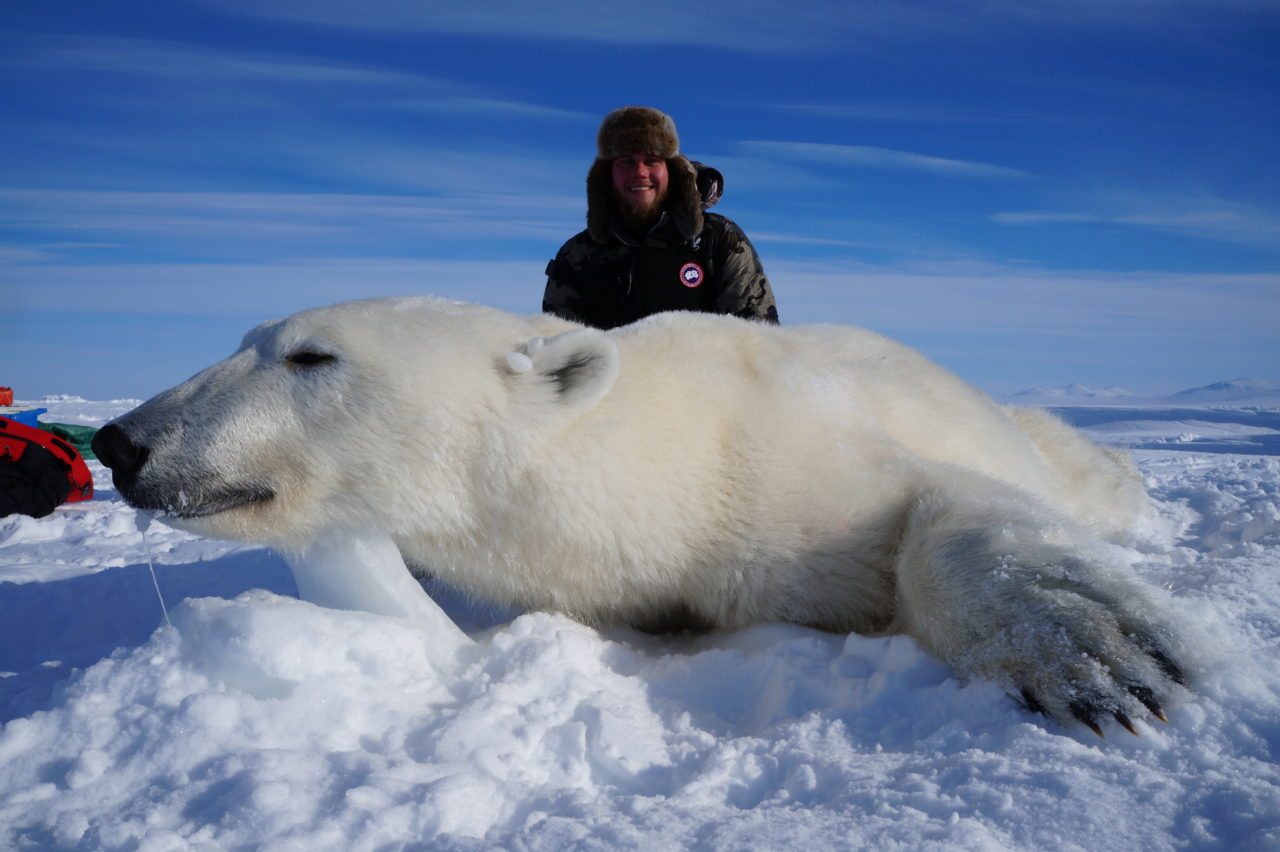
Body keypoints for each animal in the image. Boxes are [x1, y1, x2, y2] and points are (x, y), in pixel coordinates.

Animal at [94, 296, 1182, 731]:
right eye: (248, 338)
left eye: (310, 355)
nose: (120, 441)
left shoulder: (800, 464)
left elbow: (930, 506)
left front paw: (1103, 657)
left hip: (1028, 433)